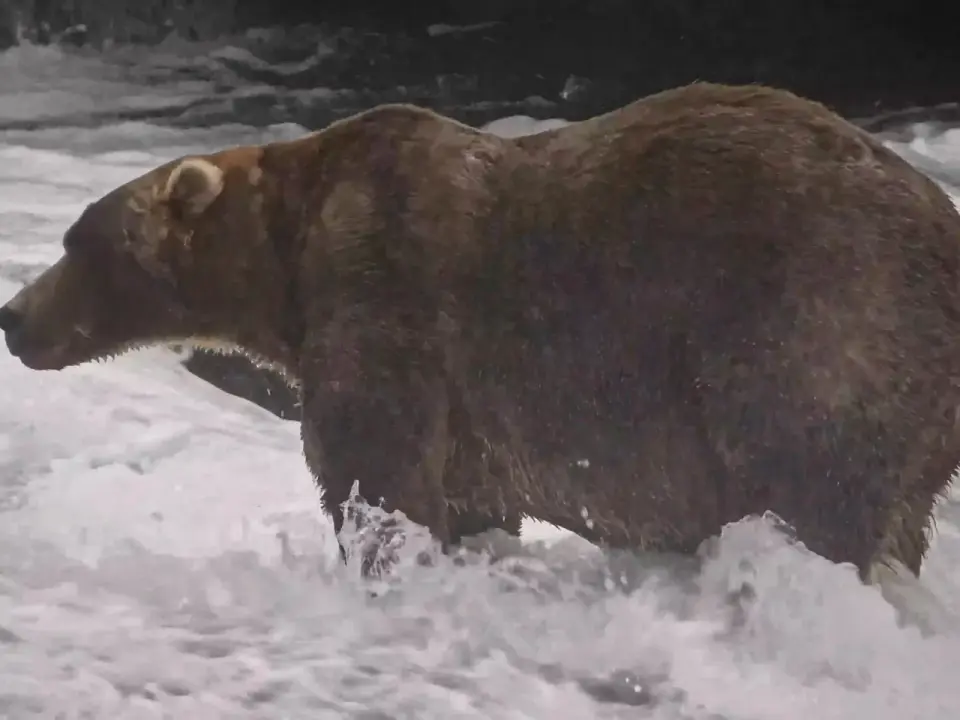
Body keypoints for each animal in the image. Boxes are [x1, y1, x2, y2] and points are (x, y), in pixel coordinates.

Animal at [2, 81, 960, 584]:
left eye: (77, 241)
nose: (13, 315)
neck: (287, 259)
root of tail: (942, 222)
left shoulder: (390, 302)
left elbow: (376, 471)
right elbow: (466, 498)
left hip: (816, 321)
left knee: (815, 480)